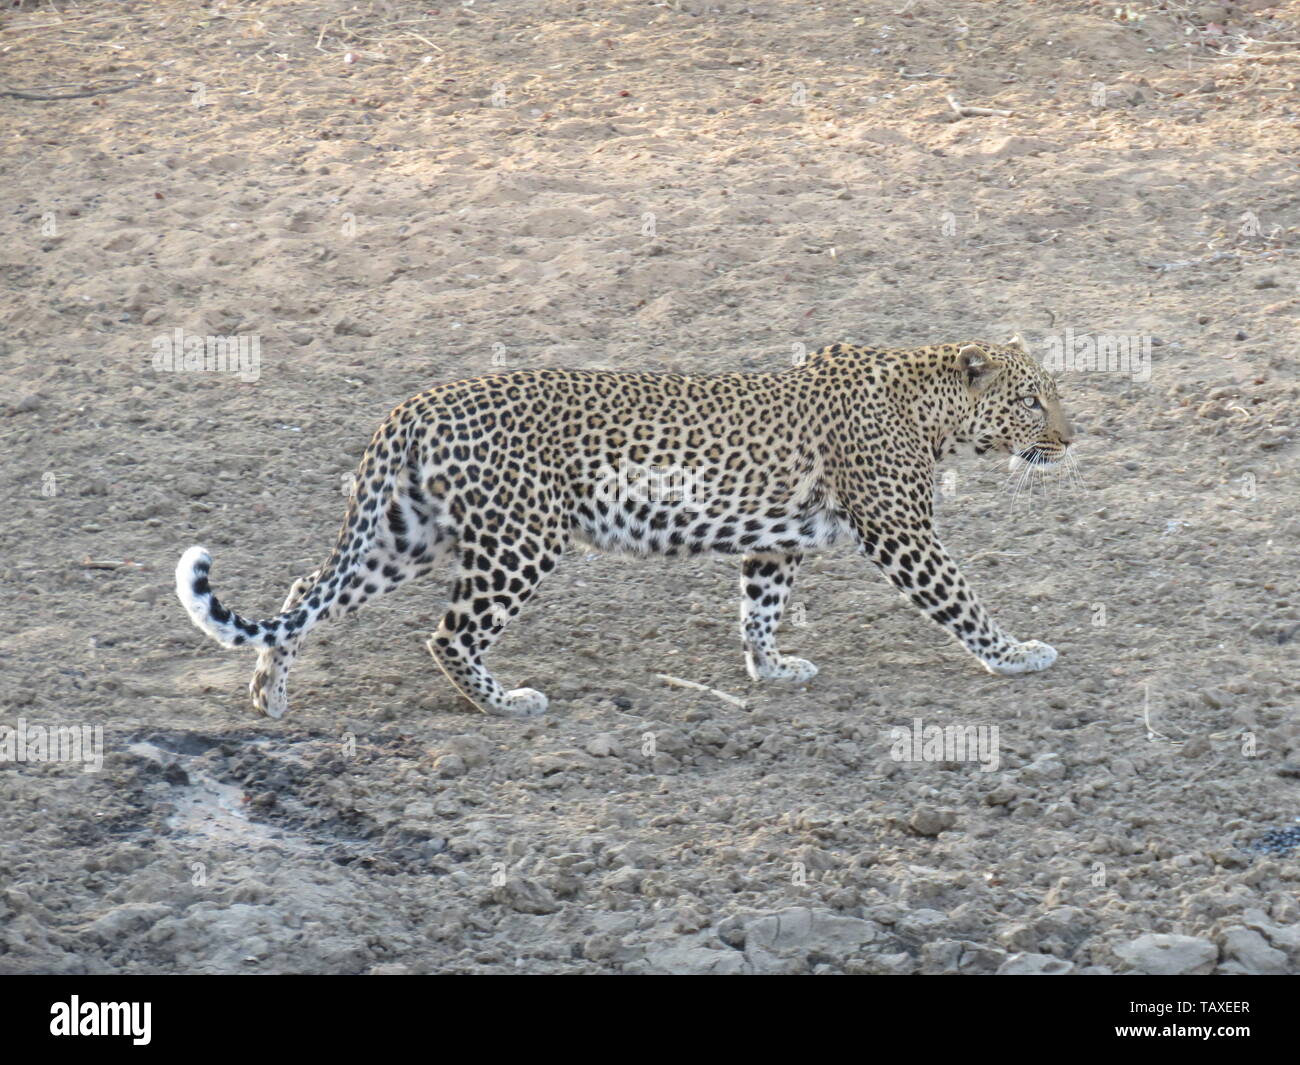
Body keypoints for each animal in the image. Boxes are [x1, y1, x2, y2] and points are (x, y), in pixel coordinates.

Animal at [180, 340, 1076, 723]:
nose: (1071, 438)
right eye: (1033, 398)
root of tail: (413, 404)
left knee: (305, 589)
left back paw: (270, 693)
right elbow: (962, 599)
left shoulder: (773, 539)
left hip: (407, 534)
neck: (932, 409)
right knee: (448, 633)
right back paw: (506, 702)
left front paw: (770, 667)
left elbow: (759, 605)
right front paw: (1017, 653)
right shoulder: (902, 530)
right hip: (519, 539)